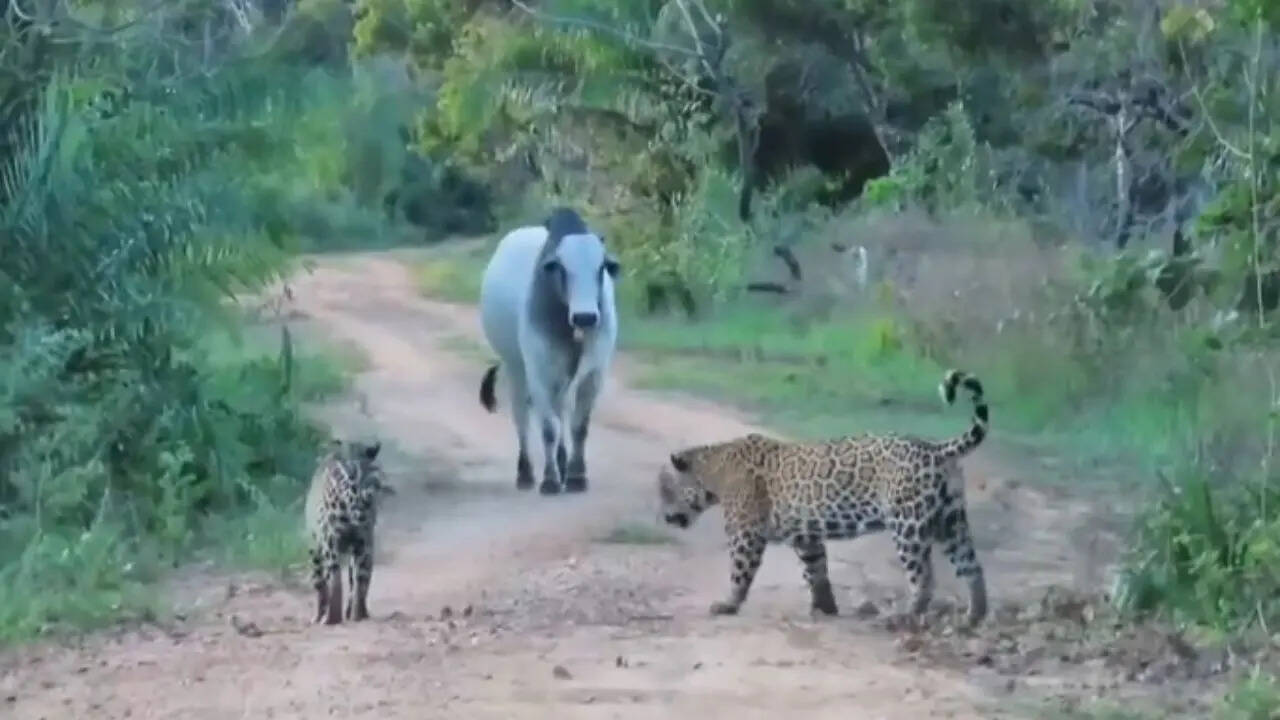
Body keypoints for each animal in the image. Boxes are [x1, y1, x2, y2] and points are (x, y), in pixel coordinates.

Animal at [305, 438, 394, 625]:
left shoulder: (314, 547)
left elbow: (319, 583)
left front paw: (317, 616)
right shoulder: (360, 543)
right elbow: (356, 580)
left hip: (330, 540)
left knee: (335, 578)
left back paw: (332, 619)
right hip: (363, 542)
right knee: (361, 579)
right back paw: (357, 615)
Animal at [477, 208, 621, 495]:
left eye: (601, 268)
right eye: (562, 268)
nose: (586, 317)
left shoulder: (594, 374)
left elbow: (579, 426)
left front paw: (576, 476)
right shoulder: (539, 371)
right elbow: (548, 428)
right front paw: (550, 479)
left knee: (561, 408)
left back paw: (563, 462)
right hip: (516, 367)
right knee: (522, 415)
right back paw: (526, 472)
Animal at [658, 369, 990, 628]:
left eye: (665, 490)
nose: (664, 517)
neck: (713, 468)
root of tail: (936, 448)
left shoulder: (745, 535)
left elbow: (739, 572)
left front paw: (728, 604)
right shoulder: (805, 536)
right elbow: (816, 570)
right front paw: (825, 607)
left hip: (908, 524)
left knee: (924, 577)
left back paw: (904, 617)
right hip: (951, 520)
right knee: (972, 567)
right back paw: (973, 617)